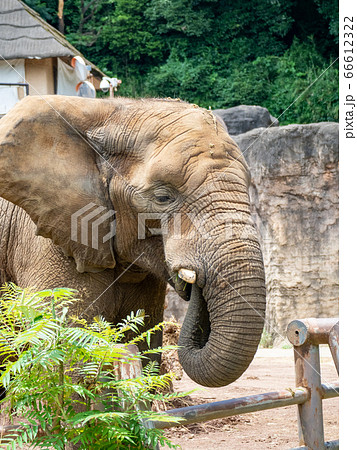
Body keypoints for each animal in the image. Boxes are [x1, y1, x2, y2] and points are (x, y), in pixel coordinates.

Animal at [0, 96, 264, 386]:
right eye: (163, 198)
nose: (194, 280)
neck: (113, 112)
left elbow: (143, 340)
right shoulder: (50, 238)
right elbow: (67, 351)